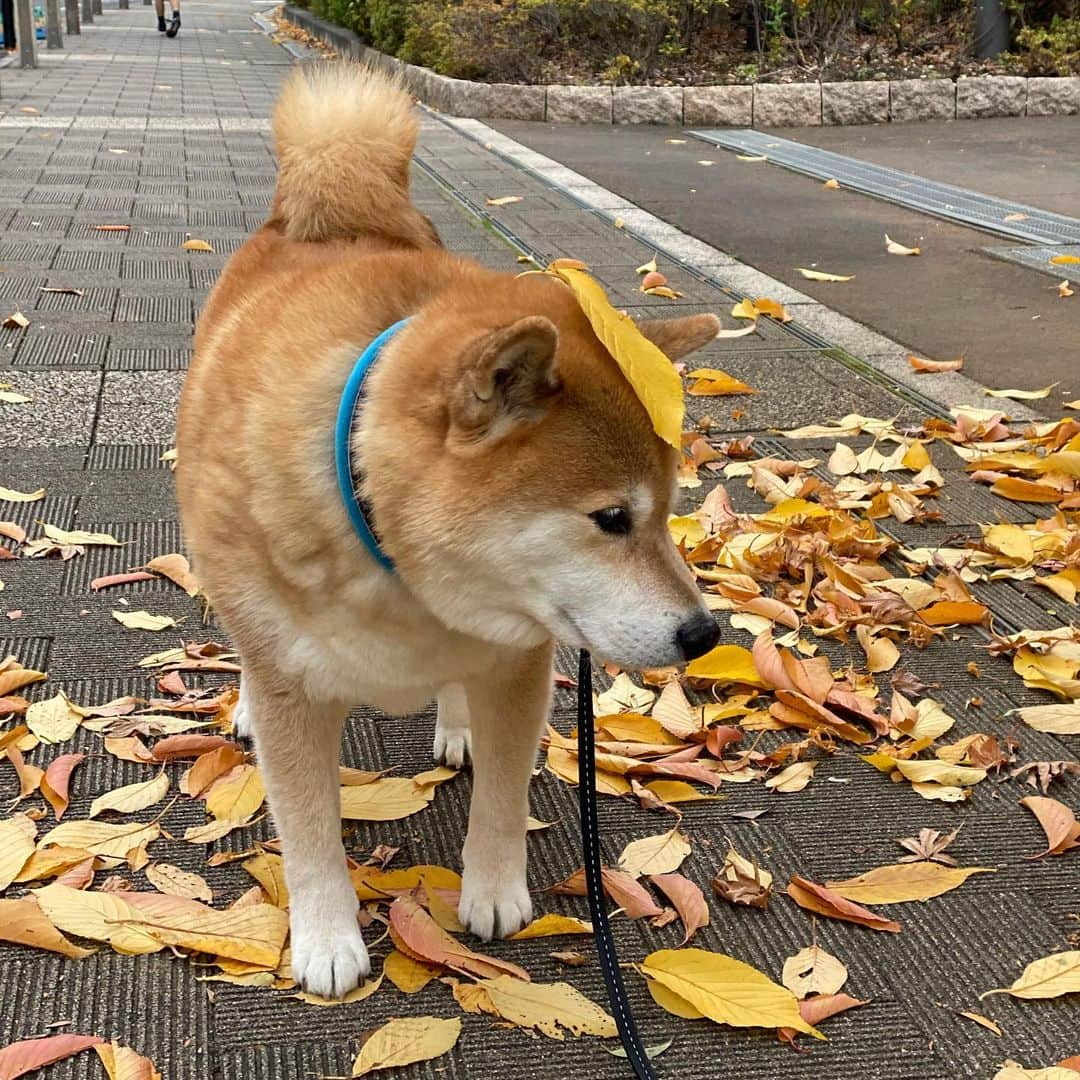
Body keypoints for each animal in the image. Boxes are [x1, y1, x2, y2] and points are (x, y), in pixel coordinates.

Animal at [174, 65, 725, 993]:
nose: (704, 633)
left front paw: (494, 892)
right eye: (611, 519)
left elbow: (503, 799)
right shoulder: (297, 692)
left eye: (669, 509)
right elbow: (308, 830)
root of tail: (337, 212)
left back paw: (456, 725)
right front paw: (327, 938)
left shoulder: (519, 662)